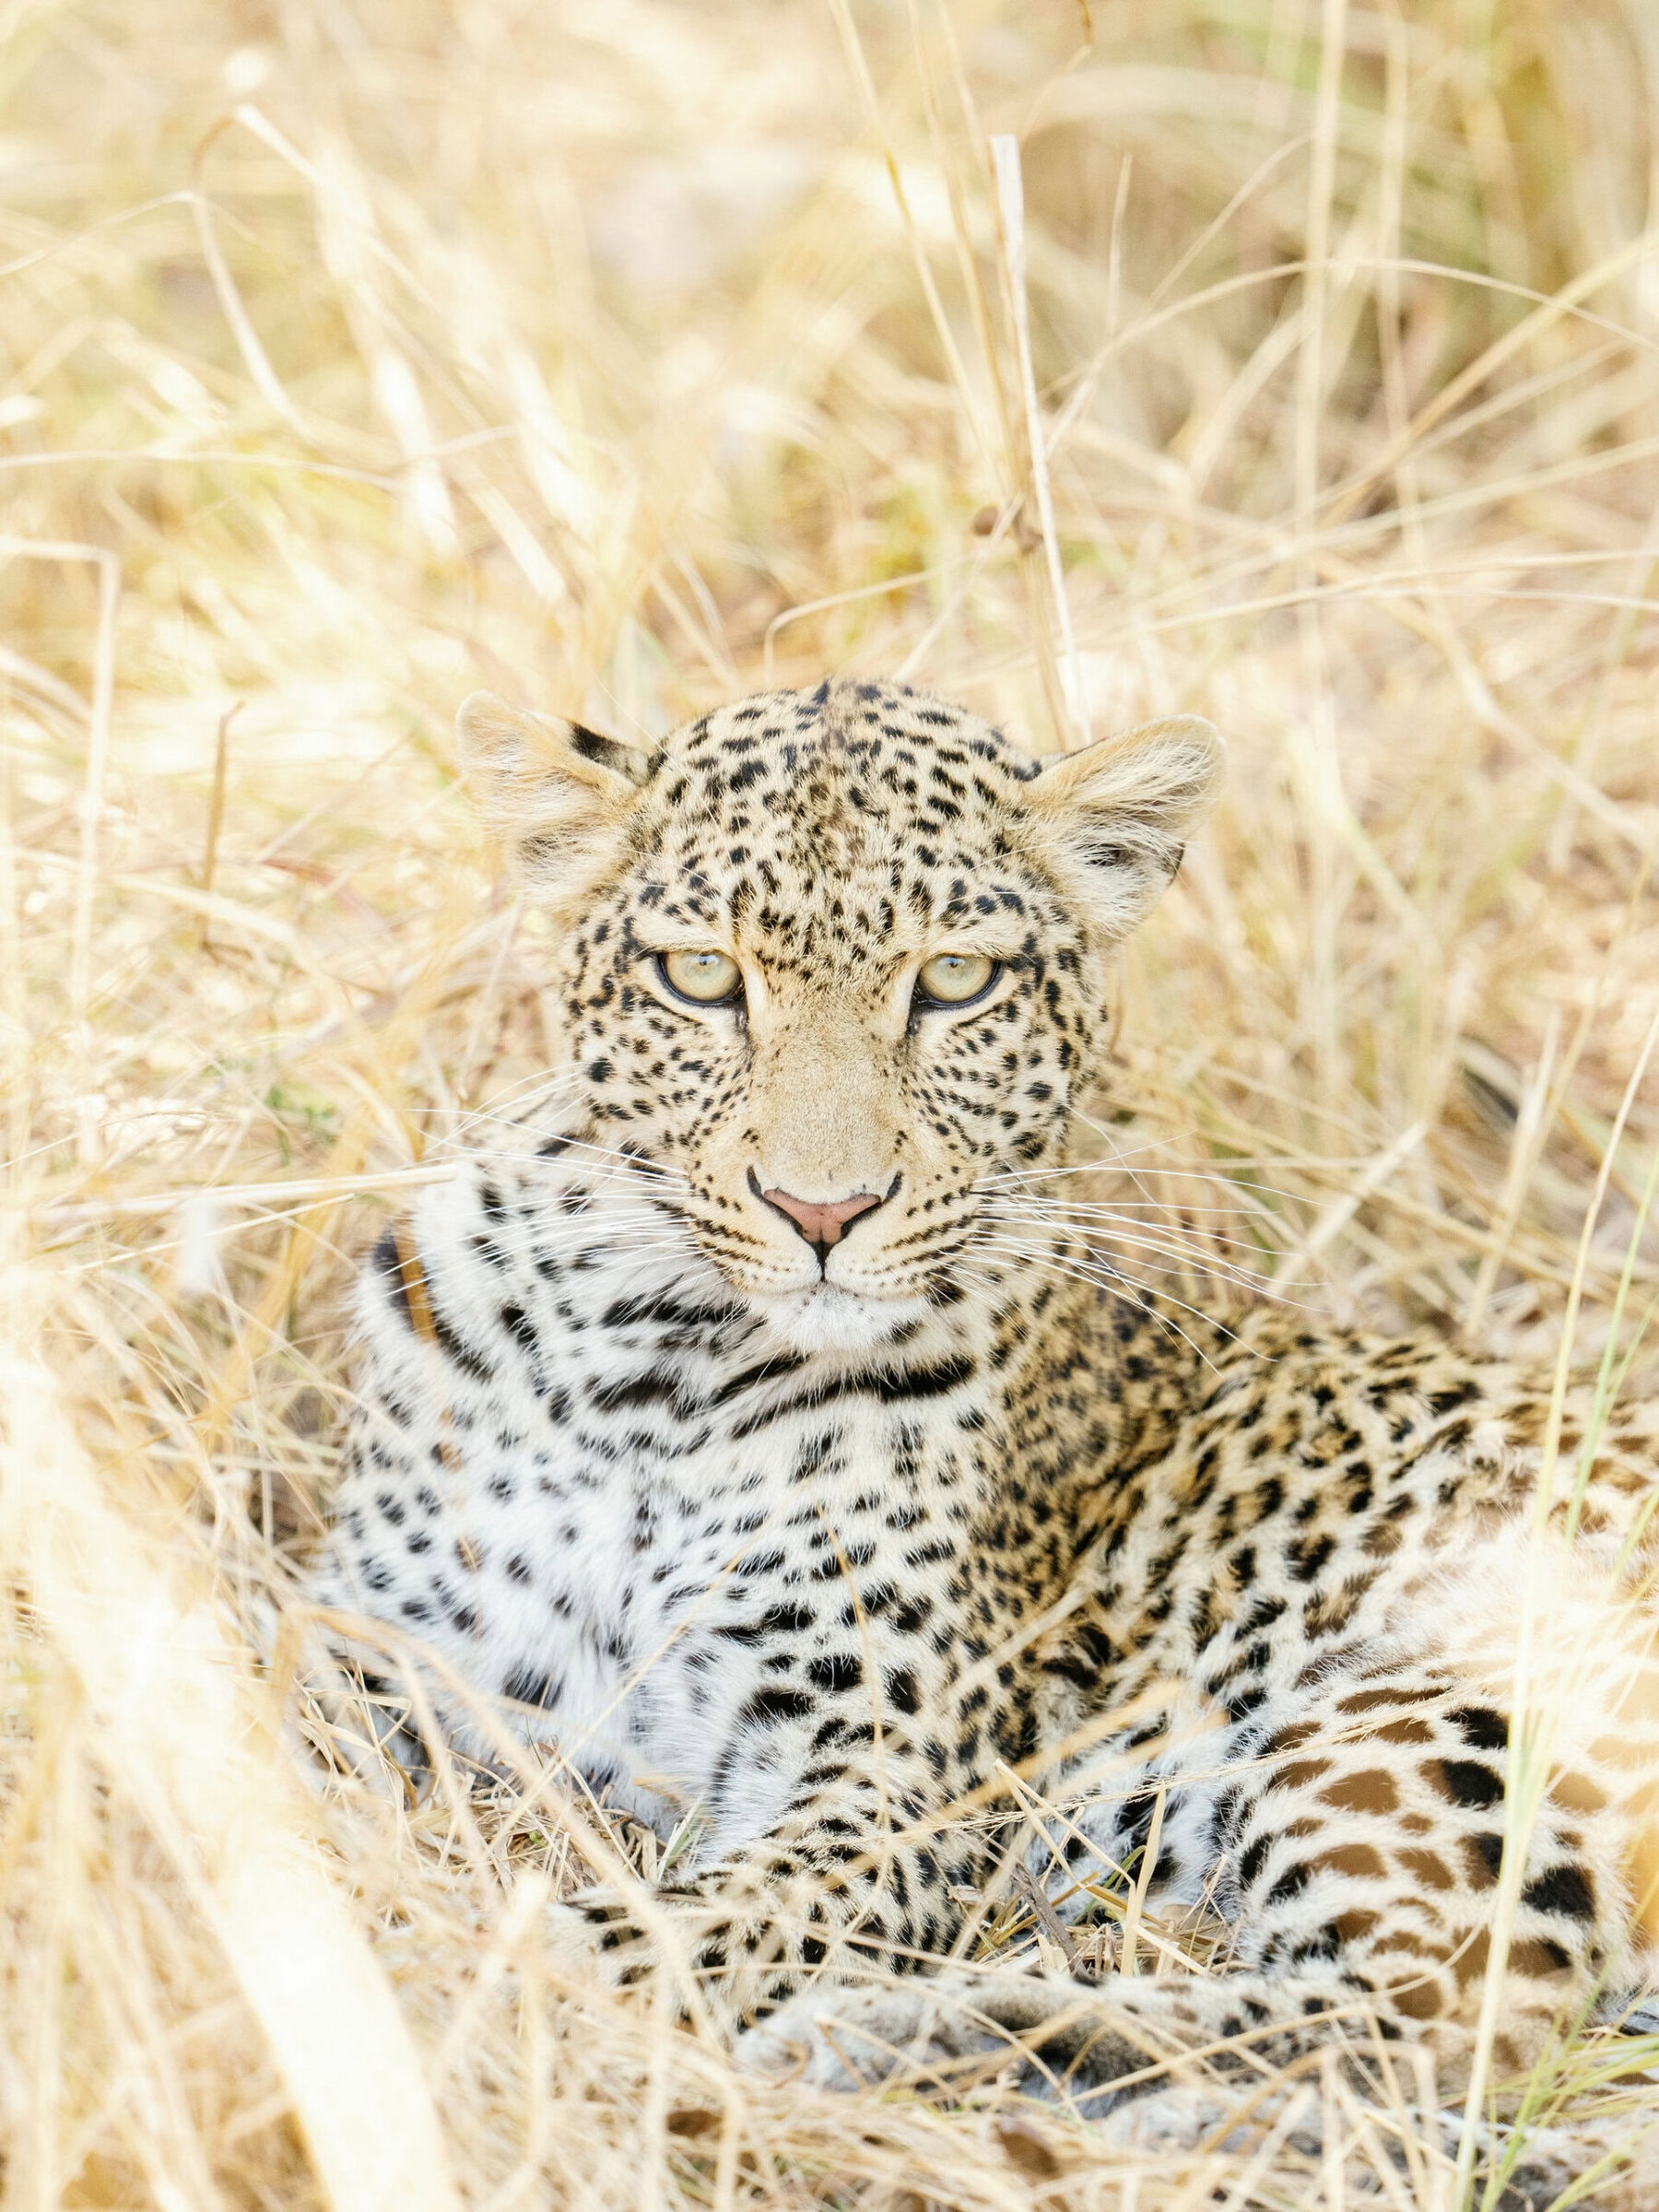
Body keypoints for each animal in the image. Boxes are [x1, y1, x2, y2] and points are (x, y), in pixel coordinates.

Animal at [312, 676, 1659, 2170]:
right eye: (701, 978)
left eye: (955, 982)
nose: (823, 1211)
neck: (650, 1364)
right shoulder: (371, 1648)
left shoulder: (898, 1771)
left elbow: (705, 1920)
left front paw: (492, 1976)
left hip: (1434, 1708)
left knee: (1426, 2038)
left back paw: (912, 2042)